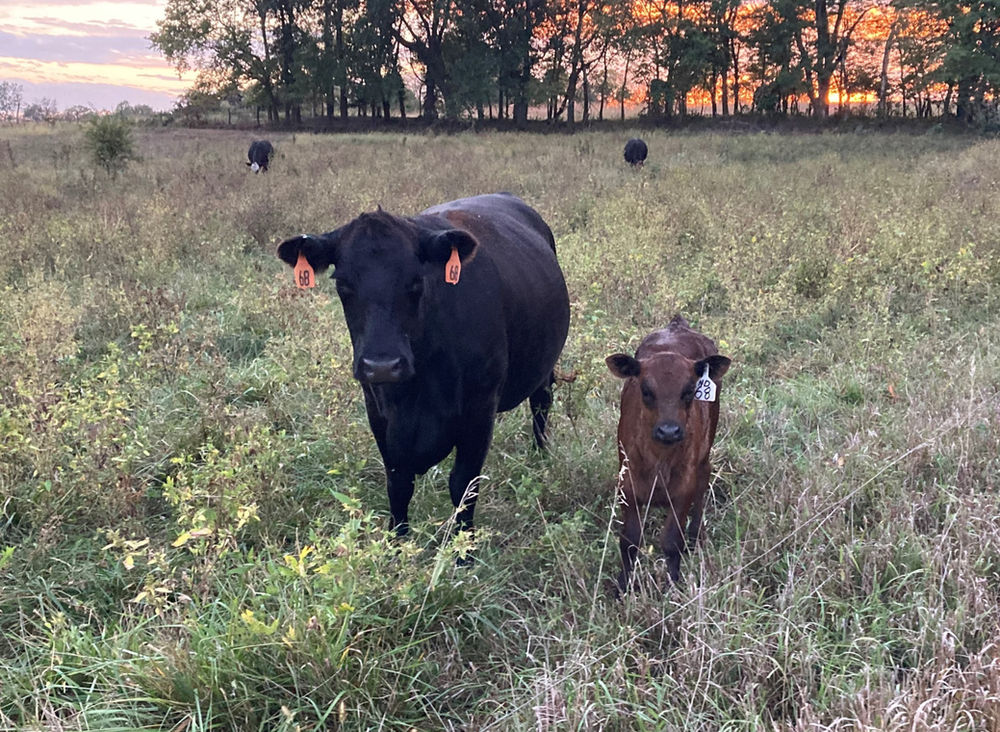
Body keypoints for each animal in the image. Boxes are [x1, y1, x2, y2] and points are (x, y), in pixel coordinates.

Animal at [276, 193, 570, 549]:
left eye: (416, 281)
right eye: (343, 285)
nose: (382, 365)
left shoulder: (480, 406)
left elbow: (463, 486)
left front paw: (463, 552)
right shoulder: (377, 409)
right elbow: (398, 483)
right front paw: (397, 545)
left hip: (544, 366)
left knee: (541, 403)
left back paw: (541, 455)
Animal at [606, 316, 731, 593]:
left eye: (689, 390)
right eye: (645, 390)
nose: (669, 431)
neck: (659, 460)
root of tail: (677, 324)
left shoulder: (684, 488)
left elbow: (673, 541)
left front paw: (673, 585)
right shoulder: (627, 484)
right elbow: (629, 540)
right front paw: (623, 586)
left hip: (705, 454)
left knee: (703, 485)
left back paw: (696, 536)